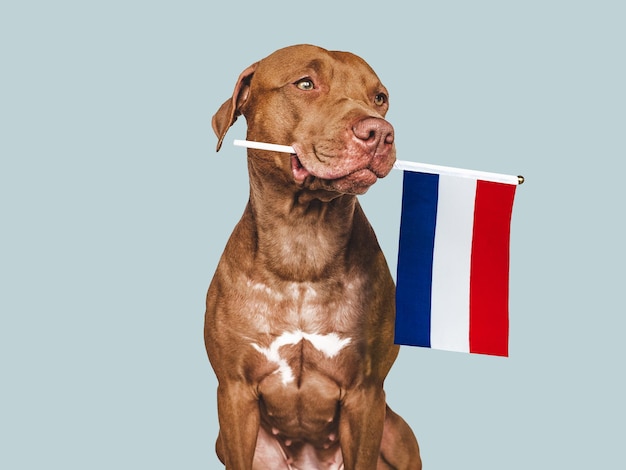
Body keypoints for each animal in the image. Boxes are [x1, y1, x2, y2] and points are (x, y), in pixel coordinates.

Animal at [205, 45, 420, 470]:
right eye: (305, 84)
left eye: (380, 98)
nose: (380, 133)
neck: (303, 245)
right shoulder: (234, 393)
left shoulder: (366, 394)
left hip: (397, 434)